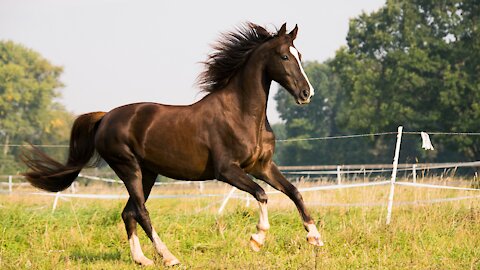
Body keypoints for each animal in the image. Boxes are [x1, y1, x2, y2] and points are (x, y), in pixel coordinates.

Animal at [21, 22, 322, 266]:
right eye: (284, 56)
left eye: (299, 55)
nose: (306, 93)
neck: (241, 114)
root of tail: (105, 117)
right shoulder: (227, 171)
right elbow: (261, 194)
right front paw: (257, 239)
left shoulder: (262, 166)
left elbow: (294, 192)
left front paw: (315, 237)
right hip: (128, 168)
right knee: (141, 212)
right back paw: (169, 256)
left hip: (148, 173)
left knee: (128, 212)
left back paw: (142, 259)